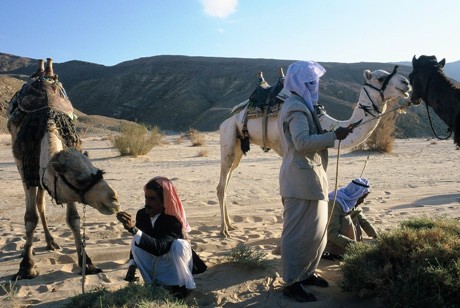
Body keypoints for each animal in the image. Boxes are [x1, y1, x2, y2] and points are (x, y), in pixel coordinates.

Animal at [7, 59, 120, 280]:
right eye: (79, 180)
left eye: (96, 169)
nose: (114, 200)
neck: (46, 119)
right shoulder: (26, 169)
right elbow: (30, 218)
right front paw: (26, 267)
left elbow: (73, 219)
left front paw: (87, 263)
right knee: (38, 204)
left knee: (41, 201)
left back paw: (51, 242)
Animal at [217, 67, 412, 236]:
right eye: (380, 78)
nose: (407, 83)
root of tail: (229, 117)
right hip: (228, 137)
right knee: (221, 186)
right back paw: (224, 230)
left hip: (239, 147)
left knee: (227, 182)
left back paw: (231, 224)